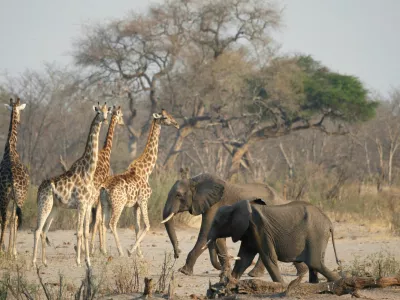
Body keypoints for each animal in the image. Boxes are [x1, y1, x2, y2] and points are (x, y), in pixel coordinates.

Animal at [32, 102, 110, 266]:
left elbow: (86, 232)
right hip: (44, 204)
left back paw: (45, 262)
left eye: (107, 111)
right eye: (98, 112)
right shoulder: (81, 204)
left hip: (54, 208)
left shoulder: (87, 204)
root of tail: (39, 189)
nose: (105, 119)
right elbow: (79, 232)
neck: (88, 171)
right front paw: (79, 261)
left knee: (44, 231)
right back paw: (34, 262)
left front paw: (87, 260)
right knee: (37, 230)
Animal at [100, 109, 180, 256]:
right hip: (118, 204)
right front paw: (131, 251)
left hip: (105, 204)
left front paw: (140, 254)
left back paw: (105, 252)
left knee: (103, 223)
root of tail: (105, 188)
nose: (176, 124)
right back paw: (120, 252)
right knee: (112, 223)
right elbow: (147, 225)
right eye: (165, 117)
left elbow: (137, 227)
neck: (146, 170)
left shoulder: (135, 204)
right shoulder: (144, 200)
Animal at [161, 170, 308, 278]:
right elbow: (217, 237)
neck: (195, 180)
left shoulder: (215, 205)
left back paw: (254, 274)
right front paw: (224, 272)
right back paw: (302, 272)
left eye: (178, 195)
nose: (177, 254)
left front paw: (184, 271)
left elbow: (205, 234)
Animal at [206, 199, 340, 284]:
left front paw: (282, 285)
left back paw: (338, 280)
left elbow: (268, 257)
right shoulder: (250, 233)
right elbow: (244, 259)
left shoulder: (260, 229)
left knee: (314, 263)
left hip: (316, 235)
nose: (222, 275)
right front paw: (229, 283)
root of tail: (329, 223)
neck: (235, 206)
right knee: (315, 264)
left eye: (216, 222)